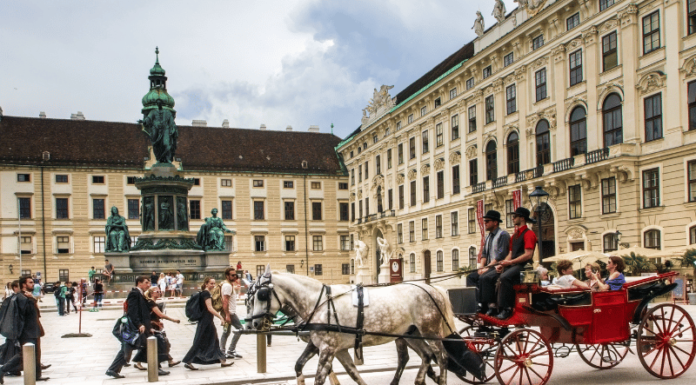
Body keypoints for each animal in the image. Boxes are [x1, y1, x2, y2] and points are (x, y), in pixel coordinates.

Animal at [250, 264, 456, 384]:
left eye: (262, 294)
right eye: (250, 297)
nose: (254, 323)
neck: (319, 302)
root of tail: (431, 288)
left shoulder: (328, 348)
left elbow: (320, 378)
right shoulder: (328, 347)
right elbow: (349, 372)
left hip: (430, 331)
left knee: (442, 357)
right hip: (411, 333)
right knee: (426, 355)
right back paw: (421, 380)